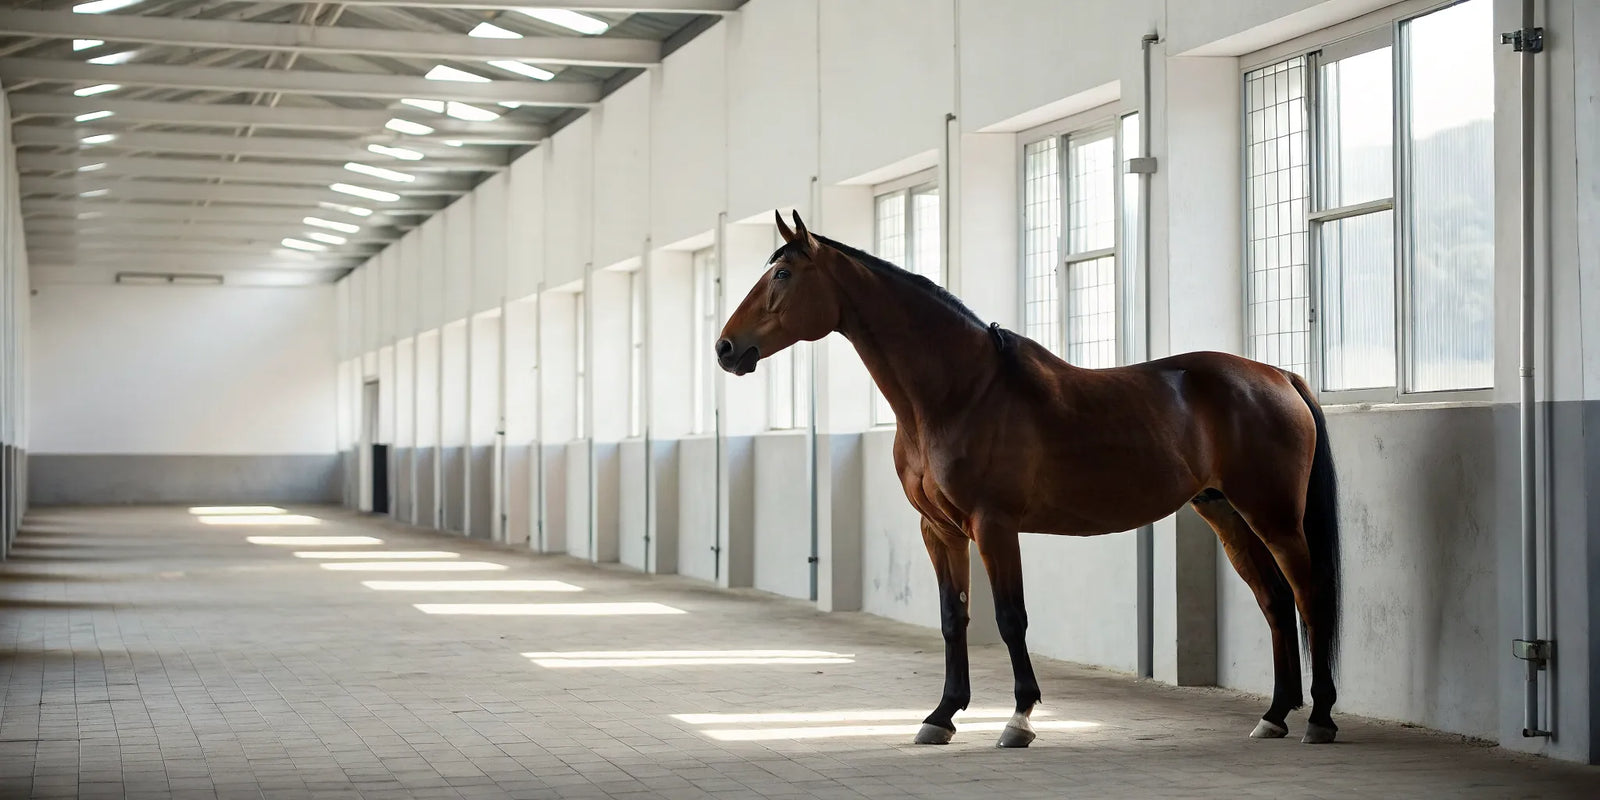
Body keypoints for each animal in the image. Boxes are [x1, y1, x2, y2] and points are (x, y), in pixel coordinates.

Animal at [716, 211, 1341, 749]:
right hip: (1226, 514)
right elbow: (953, 618)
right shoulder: (939, 531)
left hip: (1274, 517)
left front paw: (1018, 719)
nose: (726, 349)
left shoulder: (994, 526)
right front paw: (941, 716)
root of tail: (1277, 375)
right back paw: (1274, 716)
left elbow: (1010, 617)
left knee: (1309, 597)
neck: (960, 393)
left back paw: (1321, 719)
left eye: (782, 274)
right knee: (1276, 602)